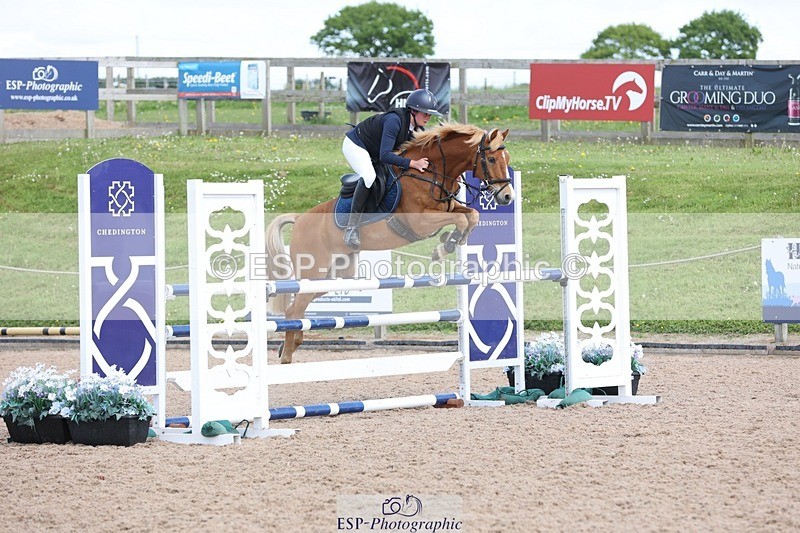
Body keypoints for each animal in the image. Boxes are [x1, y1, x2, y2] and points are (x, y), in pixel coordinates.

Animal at [265, 122, 514, 364]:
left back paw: (291, 344)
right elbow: (462, 219)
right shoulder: (421, 222)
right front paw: (444, 248)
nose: (507, 197)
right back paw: (287, 354)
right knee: (293, 309)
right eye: (491, 159)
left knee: (299, 307)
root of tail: (299, 219)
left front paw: (451, 241)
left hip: (335, 275)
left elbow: (471, 215)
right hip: (314, 272)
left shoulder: (449, 208)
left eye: (507, 159)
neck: (431, 172)